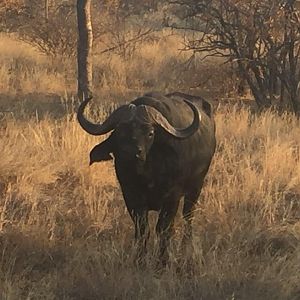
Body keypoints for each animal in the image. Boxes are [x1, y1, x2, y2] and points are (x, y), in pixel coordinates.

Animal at [77, 92, 216, 264]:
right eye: (120, 132)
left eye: (150, 133)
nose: (131, 152)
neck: (147, 174)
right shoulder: (131, 196)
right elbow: (142, 229)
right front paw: (140, 259)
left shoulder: (172, 198)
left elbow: (163, 229)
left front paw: (162, 260)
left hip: (196, 187)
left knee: (188, 217)